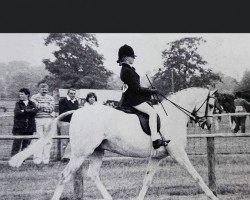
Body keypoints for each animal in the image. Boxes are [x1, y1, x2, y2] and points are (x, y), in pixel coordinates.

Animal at [8, 87, 219, 200]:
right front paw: (213, 196)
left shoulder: (156, 157)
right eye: (211, 105)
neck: (173, 115)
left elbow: (147, 181)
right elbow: (197, 177)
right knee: (64, 176)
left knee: (93, 174)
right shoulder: (177, 153)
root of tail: (77, 111)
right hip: (81, 153)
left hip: (97, 151)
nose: (208, 124)